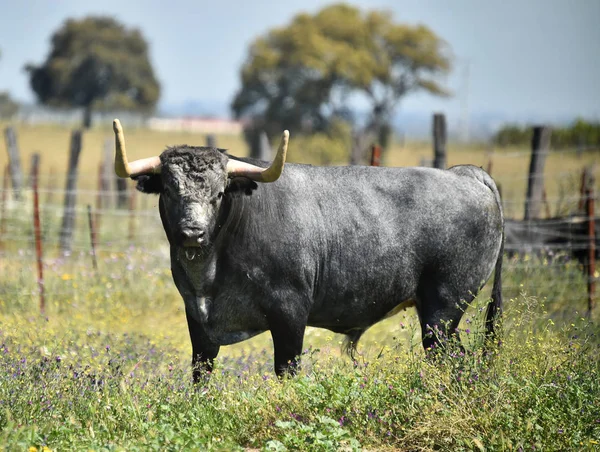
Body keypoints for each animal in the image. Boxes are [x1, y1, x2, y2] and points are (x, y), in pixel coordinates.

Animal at [111, 119, 502, 382]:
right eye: (169, 189)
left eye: (220, 192)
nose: (193, 232)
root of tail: (465, 174)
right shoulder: (197, 319)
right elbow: (200, 374)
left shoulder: (290, 313)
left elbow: (287, 370)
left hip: (442, 311)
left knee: (452, 361)